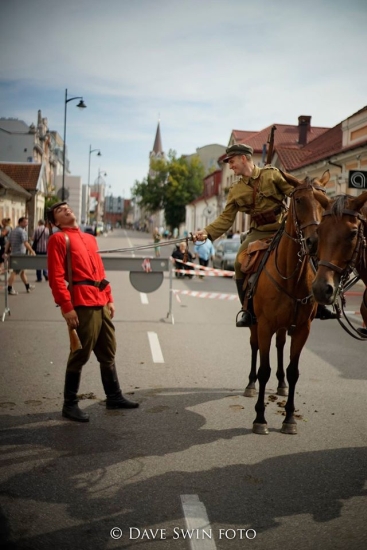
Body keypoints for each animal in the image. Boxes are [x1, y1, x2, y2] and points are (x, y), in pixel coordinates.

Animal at [247, 171, 330, 436]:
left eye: (326, 204)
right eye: (300, 201)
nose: (315, 242)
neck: (290, 276)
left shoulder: (302, 329)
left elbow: (294, 372)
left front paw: (290, 418)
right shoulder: (264, 325)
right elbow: (264, 371)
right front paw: (260, 418)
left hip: (284, 327)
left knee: (281, 345)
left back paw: (281, 384)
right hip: (255, 323)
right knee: (254, 347)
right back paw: (250, 384)